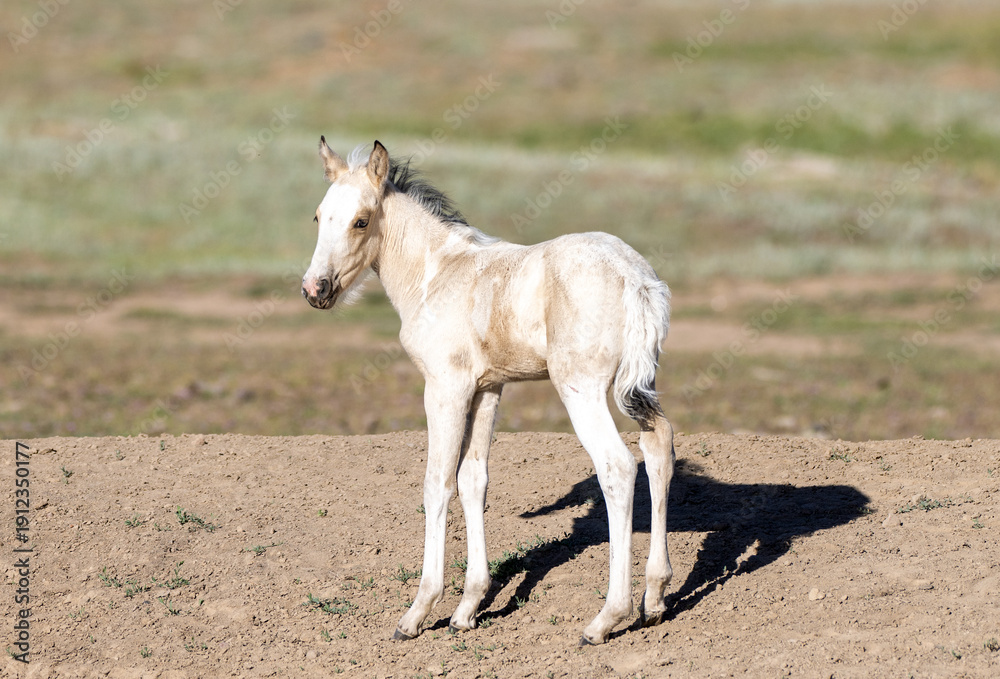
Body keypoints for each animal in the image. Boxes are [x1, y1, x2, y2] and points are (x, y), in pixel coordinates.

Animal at [302, 138, 676, 645]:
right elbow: (472, 480)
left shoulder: (445, 386)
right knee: (659, 447)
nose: (314, 289)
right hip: (638, 386)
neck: (436, 273)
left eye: (362, 220)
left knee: (617, 466)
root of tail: (635, 278)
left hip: (581, 388)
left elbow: (437, 483)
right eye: (319, 216)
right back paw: (654, 598)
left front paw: (418, 612)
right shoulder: (488, 388)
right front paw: (467, 609)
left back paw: (605, 619)